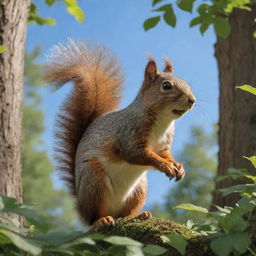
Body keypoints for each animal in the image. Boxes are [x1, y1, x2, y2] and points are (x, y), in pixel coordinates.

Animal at [44, 40, 196, 228]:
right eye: (166, 86)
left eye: (188, 84)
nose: (192, 100)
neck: (163, 120)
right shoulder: (129, 132)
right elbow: (135, 153)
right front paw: (165, 166)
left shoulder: (163, 145)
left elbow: (165, 154)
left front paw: (178, 167)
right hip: (94, 181)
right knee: (93, 217)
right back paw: (101, 220)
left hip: (138, 190)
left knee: (124, 215)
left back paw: (139, 216)